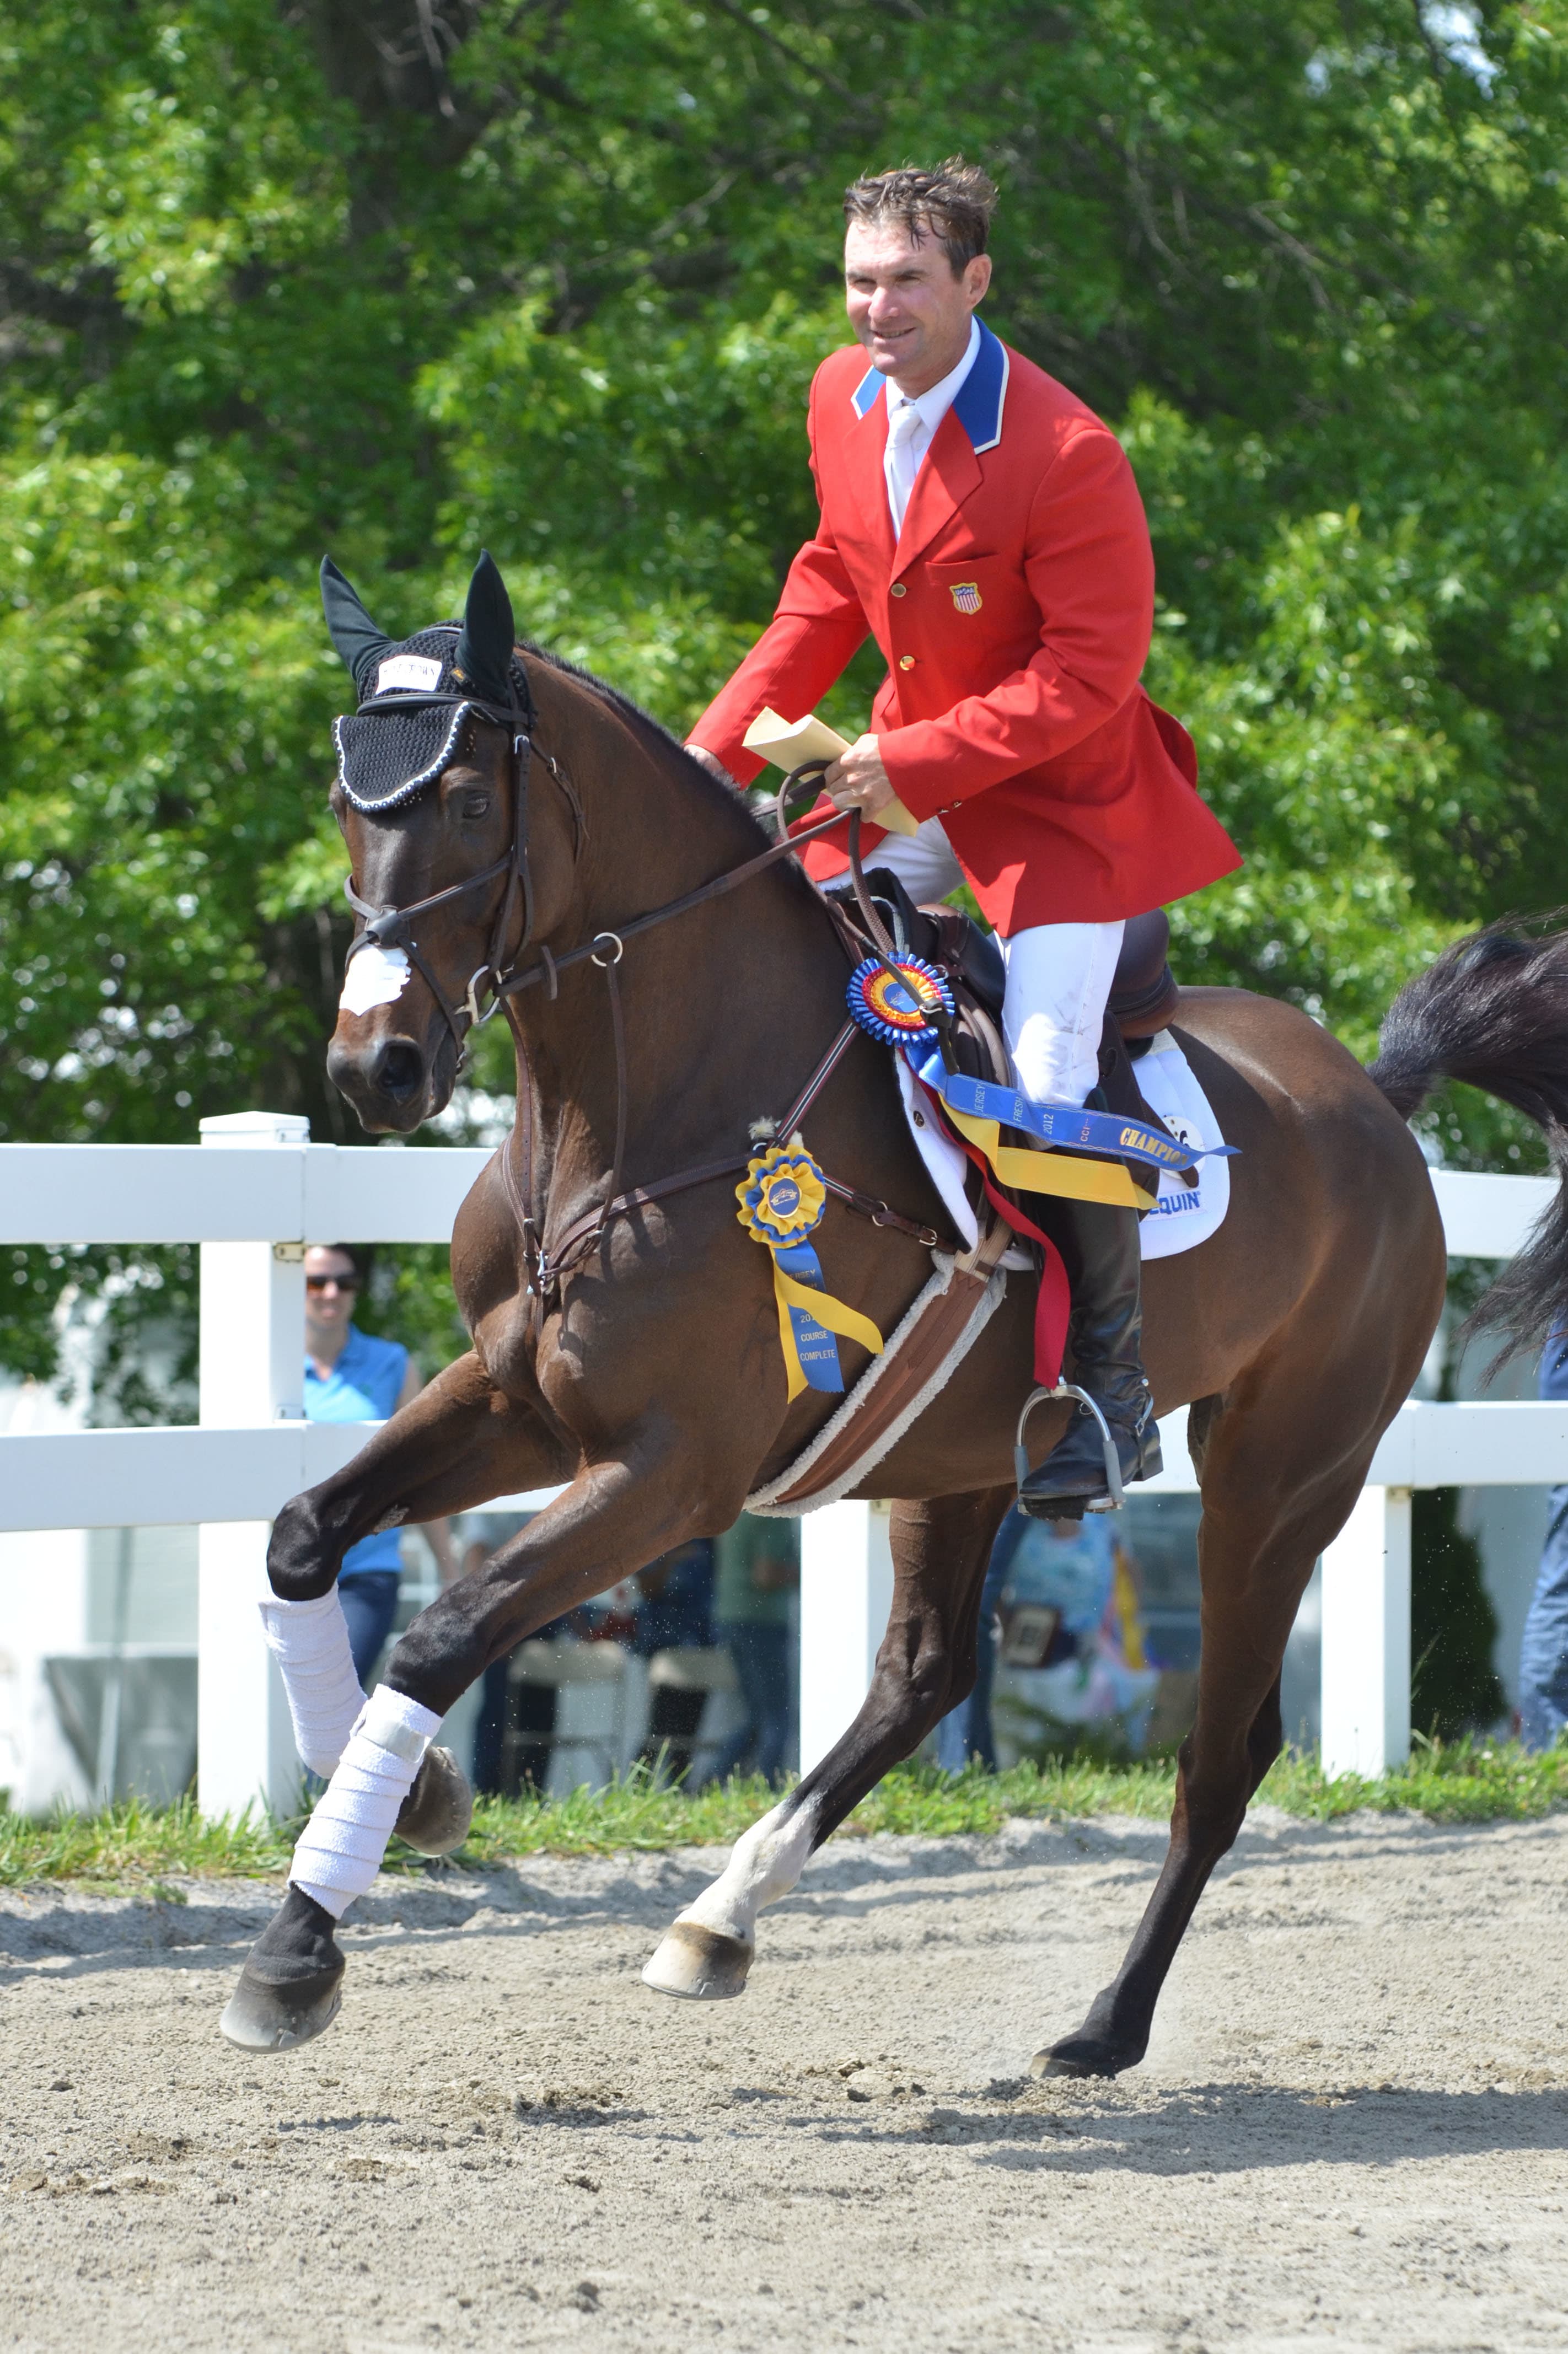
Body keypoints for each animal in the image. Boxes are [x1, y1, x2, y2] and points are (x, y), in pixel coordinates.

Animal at [224, 552, 1568, 2073]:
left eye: (461, 800)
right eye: (347, 801)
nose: (376, 1067)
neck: (640, 1102)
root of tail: (1373, 1100)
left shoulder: (674, 1469)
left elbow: (444, 1632)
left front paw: (299, 1944)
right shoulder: (521, 1403)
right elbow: (300, 1537)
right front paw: (418, 1796)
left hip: (1282, 1478)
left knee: (1218, 1756)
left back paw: (1102, 2027)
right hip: (965, 1452)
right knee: (921, 1675)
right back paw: (720, 1920)